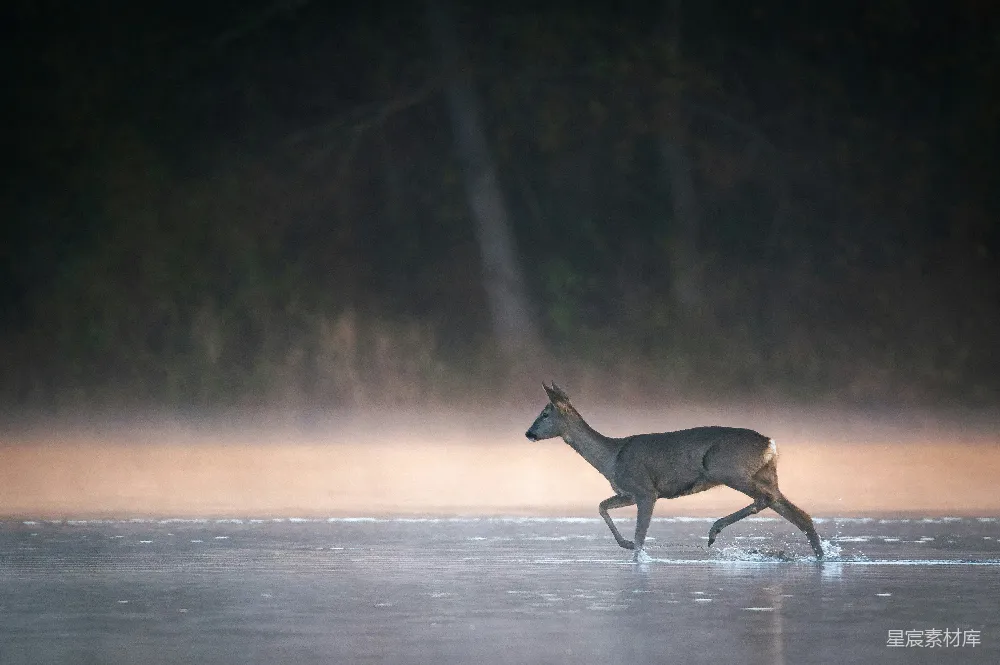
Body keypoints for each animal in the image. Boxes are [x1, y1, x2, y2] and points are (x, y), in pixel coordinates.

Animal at [524, 383, 823, 562]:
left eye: (545, 413)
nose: (529, 433)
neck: (612, 458)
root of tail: (770, 444)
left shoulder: (646, 490)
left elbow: (640, 536)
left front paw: (637, 555)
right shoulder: (628, 492)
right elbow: (601, 506)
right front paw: (625, 545)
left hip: (729, 469)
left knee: (766, 500)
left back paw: (714, 530)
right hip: (766, 475)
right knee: (801, 515)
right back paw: (820, 556)